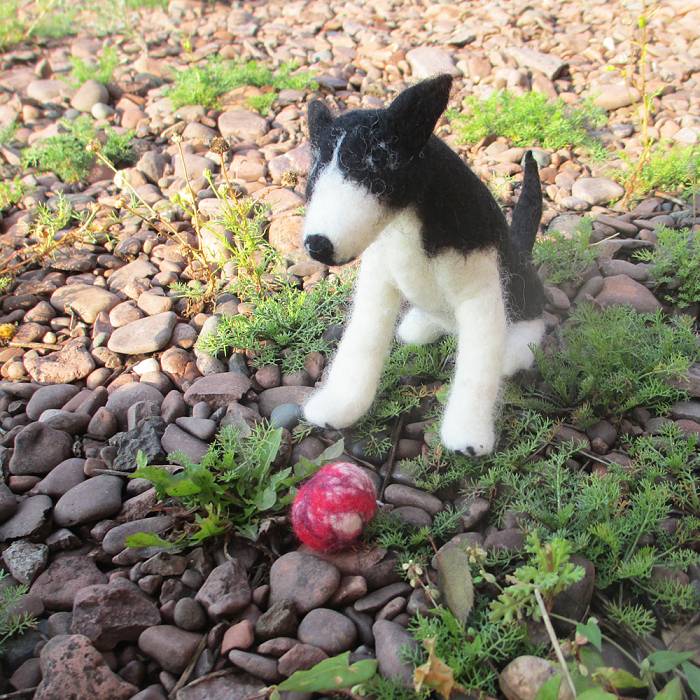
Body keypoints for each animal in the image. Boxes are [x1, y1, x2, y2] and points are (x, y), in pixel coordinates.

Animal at [300, 74, 548, 456]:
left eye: (378, 167)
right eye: (313, 176)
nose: (318, 245)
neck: (408, 222)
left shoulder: (480, 292)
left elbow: (478, 366)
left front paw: (467, 433)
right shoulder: (377, 283)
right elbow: (361, 341)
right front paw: (339, 405)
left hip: (523, 296)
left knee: (528, 329)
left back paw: (514, 351)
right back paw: (419, 325)